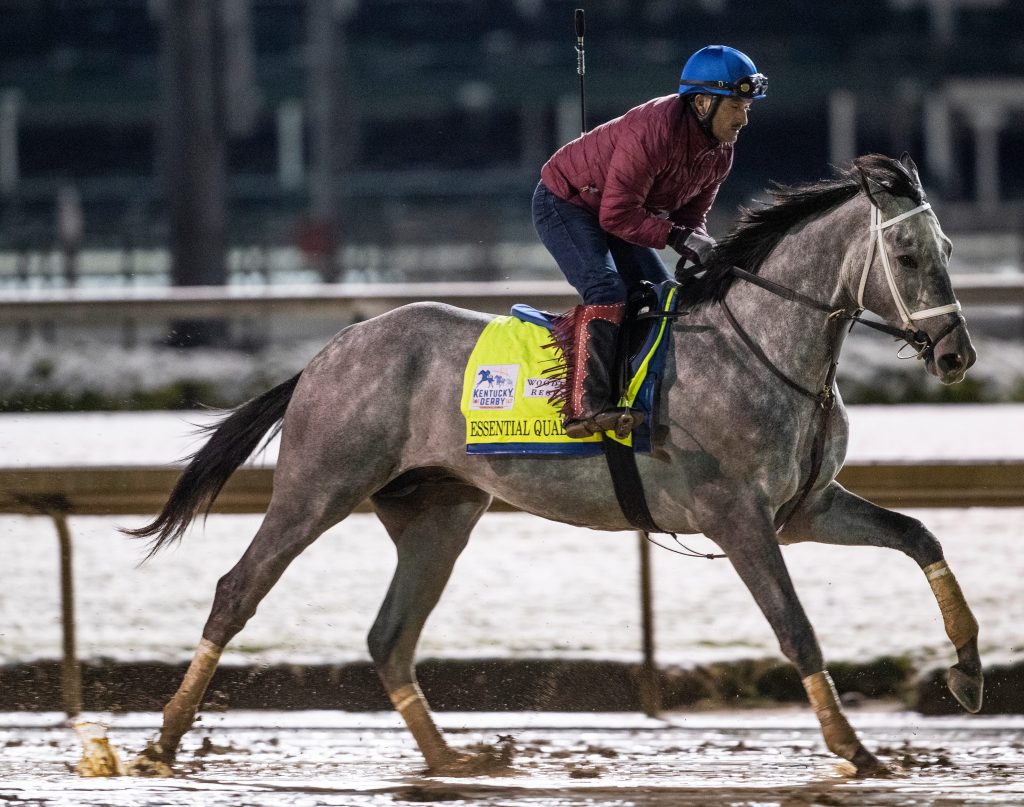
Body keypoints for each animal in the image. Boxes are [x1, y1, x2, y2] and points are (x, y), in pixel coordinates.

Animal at [130, 152, 983, 774]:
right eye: (906, 253)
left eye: (948, 249)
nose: (955, 354)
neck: (764, 345)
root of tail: (325, 354)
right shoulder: (737, 516)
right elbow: (796, 625)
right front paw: (854, 747)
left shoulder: (805, 507)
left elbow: (920, 536)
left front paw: (967, 668)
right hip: (318, 487)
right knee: (237, 591)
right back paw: (162, 742)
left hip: (440, 511)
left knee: (389, 635)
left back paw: (453, 760)